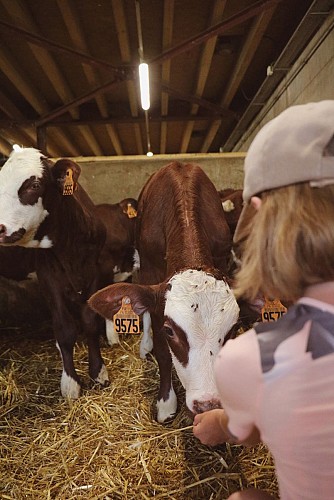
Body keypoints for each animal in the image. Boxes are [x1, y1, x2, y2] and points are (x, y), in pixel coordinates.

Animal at [0, 147, 132, 398]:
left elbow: (89, 321)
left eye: (34, 185)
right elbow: (64, 328)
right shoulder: (48, 276)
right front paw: (70, 383)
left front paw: (98, 372)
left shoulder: (95, 270)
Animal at [89, 162, 240, 424]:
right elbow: (161, 347)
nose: (208, 404)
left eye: (233, 329)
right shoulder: (151, 276)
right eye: (170, 331)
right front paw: (166, 402)